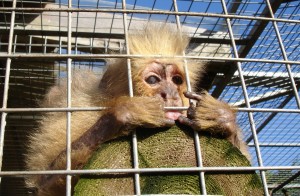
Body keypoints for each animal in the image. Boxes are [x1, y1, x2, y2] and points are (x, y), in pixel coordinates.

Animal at [25, 25, 248, 195]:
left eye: (176, 80)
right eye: (153, 80)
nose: (170, 93)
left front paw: (220, 118)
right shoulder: (80, 111)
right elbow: (44, 182)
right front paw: (125, 114)